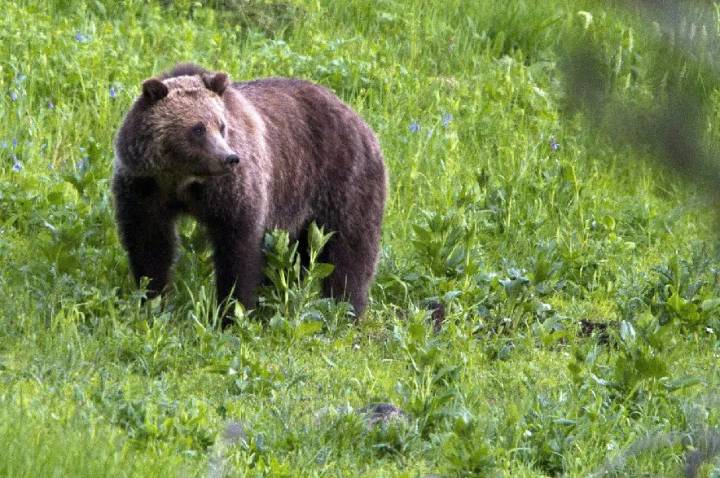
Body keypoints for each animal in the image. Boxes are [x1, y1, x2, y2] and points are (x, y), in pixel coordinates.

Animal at [112, 64, 387, 321]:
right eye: (197, 129)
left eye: (221, 126)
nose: (229, 158)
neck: (182, 180)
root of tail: (357, 117)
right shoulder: (144, 188)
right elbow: (149, 245)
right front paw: (152, 301)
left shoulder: (231, 191)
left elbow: (238, 248)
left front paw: (232, 312)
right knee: (298, 255)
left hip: (342, 181)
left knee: (350, 249)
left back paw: (346, 309)